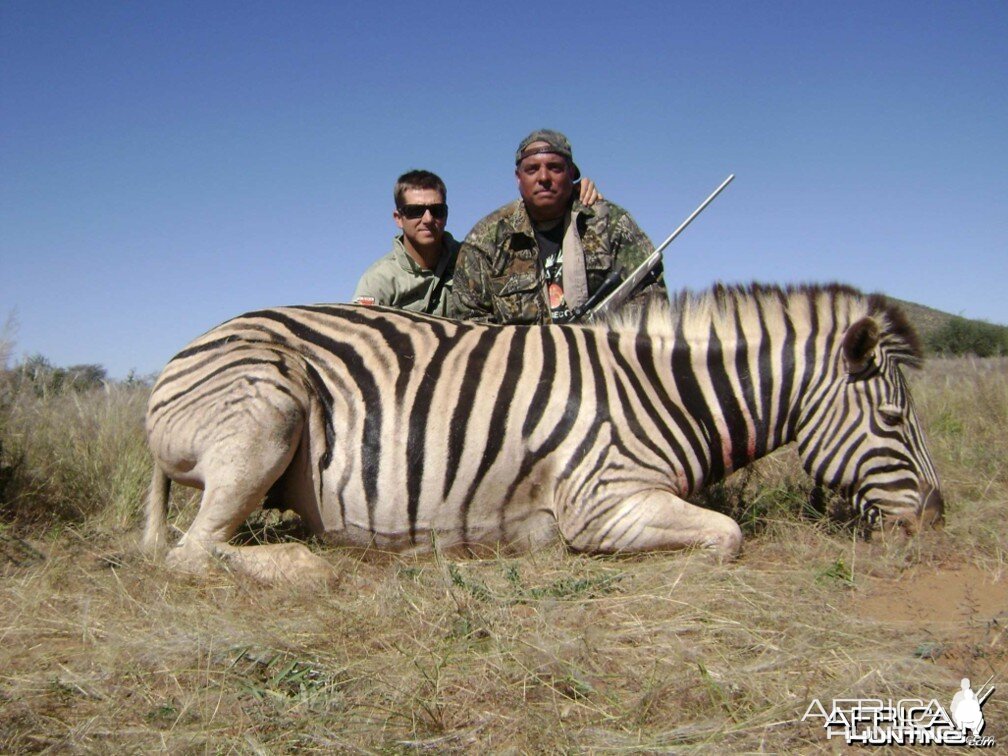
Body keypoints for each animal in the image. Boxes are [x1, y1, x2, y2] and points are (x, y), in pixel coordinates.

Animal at [142, 284, 943, 584]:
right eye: (895, 422)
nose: (935, 520)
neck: (658, 393)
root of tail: (183, 353)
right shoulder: (604, 502)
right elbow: (727, 536)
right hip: (268, 407)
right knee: (190, 552)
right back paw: (319, 561)